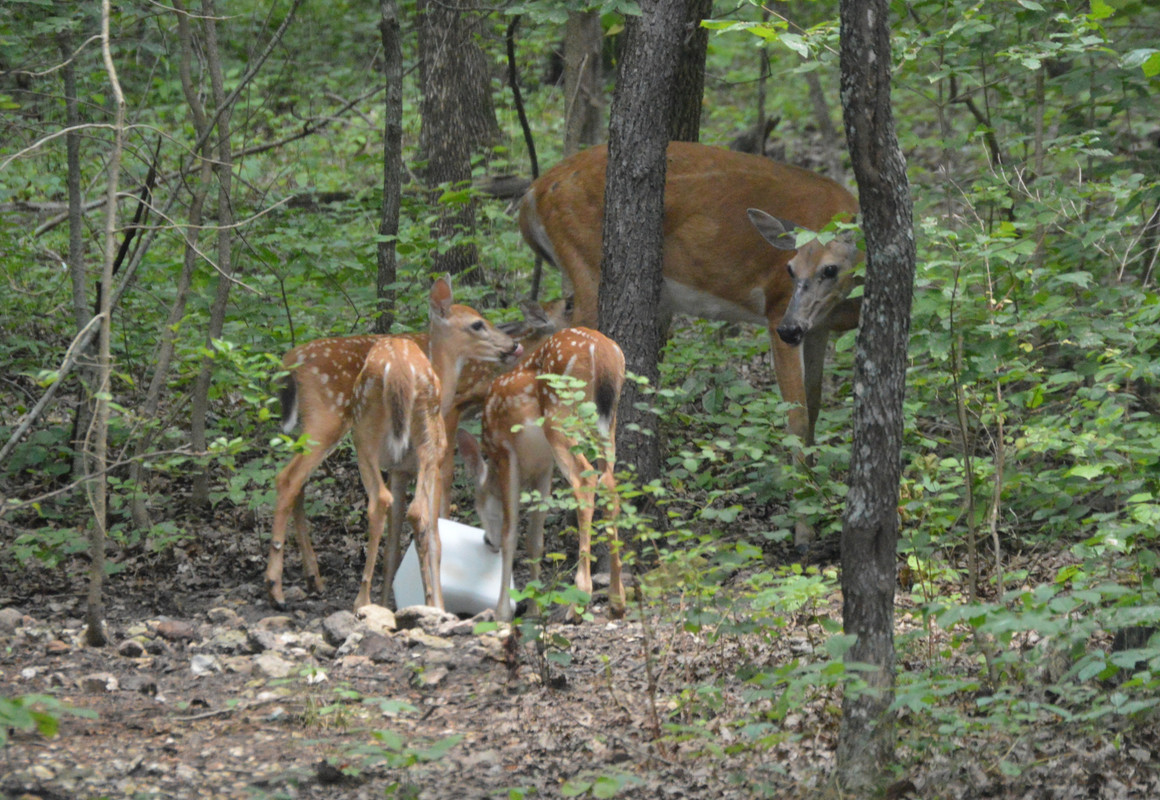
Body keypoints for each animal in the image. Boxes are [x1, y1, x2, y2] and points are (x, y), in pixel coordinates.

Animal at [265, 277, 536, 609]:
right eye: (477, 324)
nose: (512, 345)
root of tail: (290, 360)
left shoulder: (398, 468)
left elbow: (395, 538)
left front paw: (387, 598)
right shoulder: (437, 454)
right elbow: (435, 528)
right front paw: (434, 598)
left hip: (328, 433)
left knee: (308, 487)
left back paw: (317, 580)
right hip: (332, 420)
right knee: (289, 479)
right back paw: (277, 588)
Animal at [457, 327, 626, 623]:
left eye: (479, 504)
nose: (487, 541)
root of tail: (603, 352)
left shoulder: (505, 453)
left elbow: (511, 531)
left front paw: (502, 612)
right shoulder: (544, 467)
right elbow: (535, 539)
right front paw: (534, 609)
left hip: (560, 414)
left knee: (586, 480)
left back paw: (578, 603)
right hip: (607, 420)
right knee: (608, 483)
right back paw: (617, 601)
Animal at [519, 141, 862, 457]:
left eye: (831, 269)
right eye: (790, 269)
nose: (790, 330)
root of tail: (533, 192)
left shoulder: (817, 326)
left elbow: (814, 406)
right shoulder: (777, 307)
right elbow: (797, 417)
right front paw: (797, 478)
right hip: (588, 268)